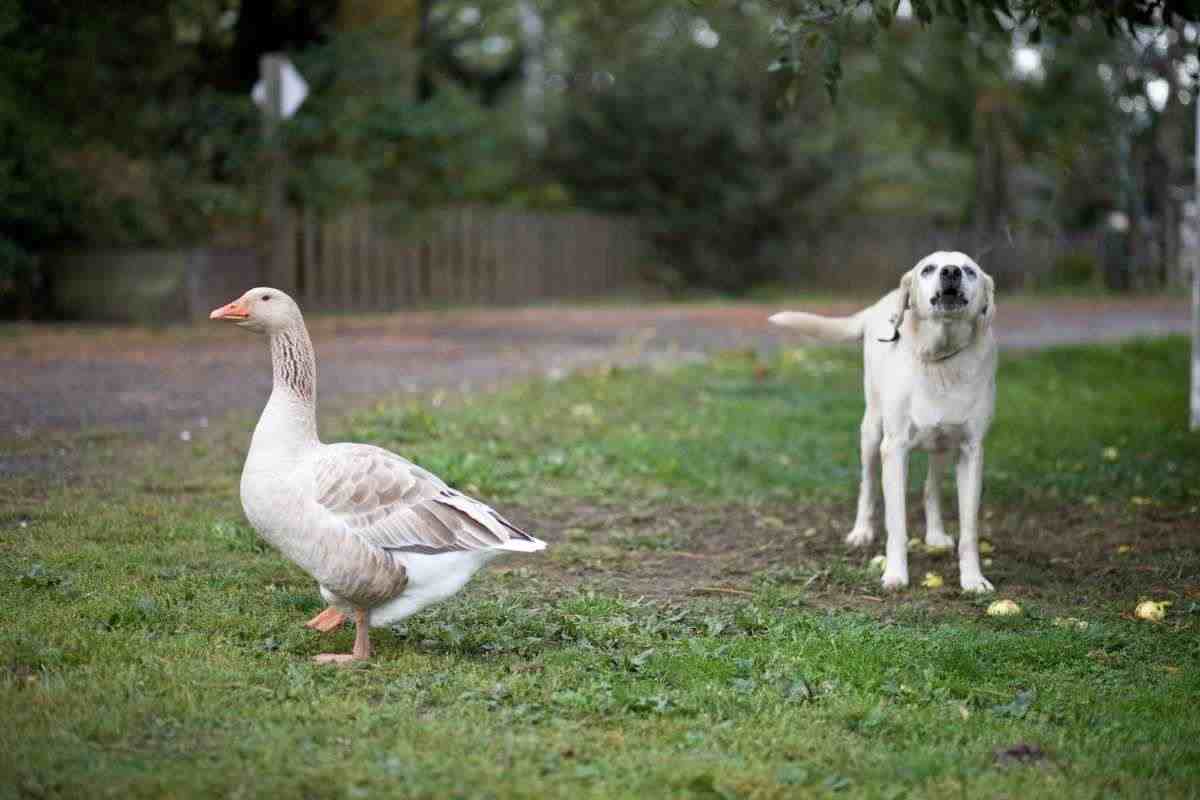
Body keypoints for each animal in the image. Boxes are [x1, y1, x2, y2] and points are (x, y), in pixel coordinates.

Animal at [772, 251, 998, 594]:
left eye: (969, 270)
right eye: (928, 269)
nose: (950, 272)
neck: (940, 361)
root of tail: (881, 302)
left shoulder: (971, 452)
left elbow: (969, 530)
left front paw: (973, 580)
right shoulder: (894, 449)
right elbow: (896, 524)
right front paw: (895, 575)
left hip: (942, 447)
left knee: (931, 487)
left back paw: (935, 534)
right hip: (871, 434)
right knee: (867, 485)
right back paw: (861, 532)